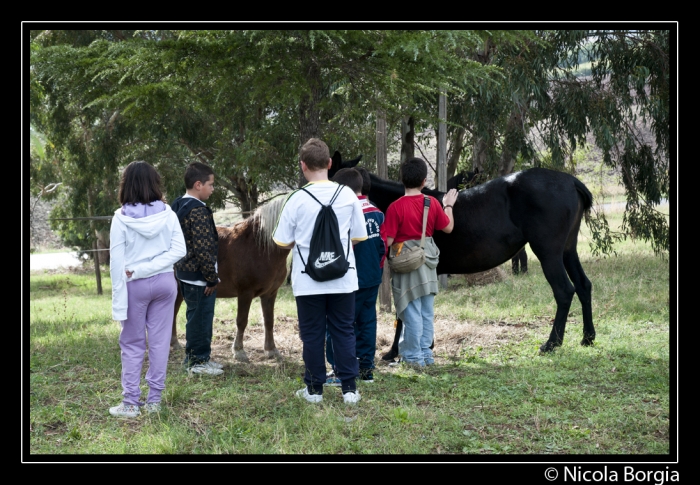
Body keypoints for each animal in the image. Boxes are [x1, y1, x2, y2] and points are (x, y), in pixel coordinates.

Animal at [172, 196, 290, 360]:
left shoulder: (270, 293)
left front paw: (271, 350)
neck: (260, 247)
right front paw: (239, 351)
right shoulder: (245, 293)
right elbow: (242, 321)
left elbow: (269, 321)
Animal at [330, 153, 592, 354]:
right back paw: (588, 337)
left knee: (564, 291)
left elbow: (403, 312)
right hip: (568, 251)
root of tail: (570, 181)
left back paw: (552, 343)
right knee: (583, 285)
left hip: (549, 254)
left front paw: (395, 352)